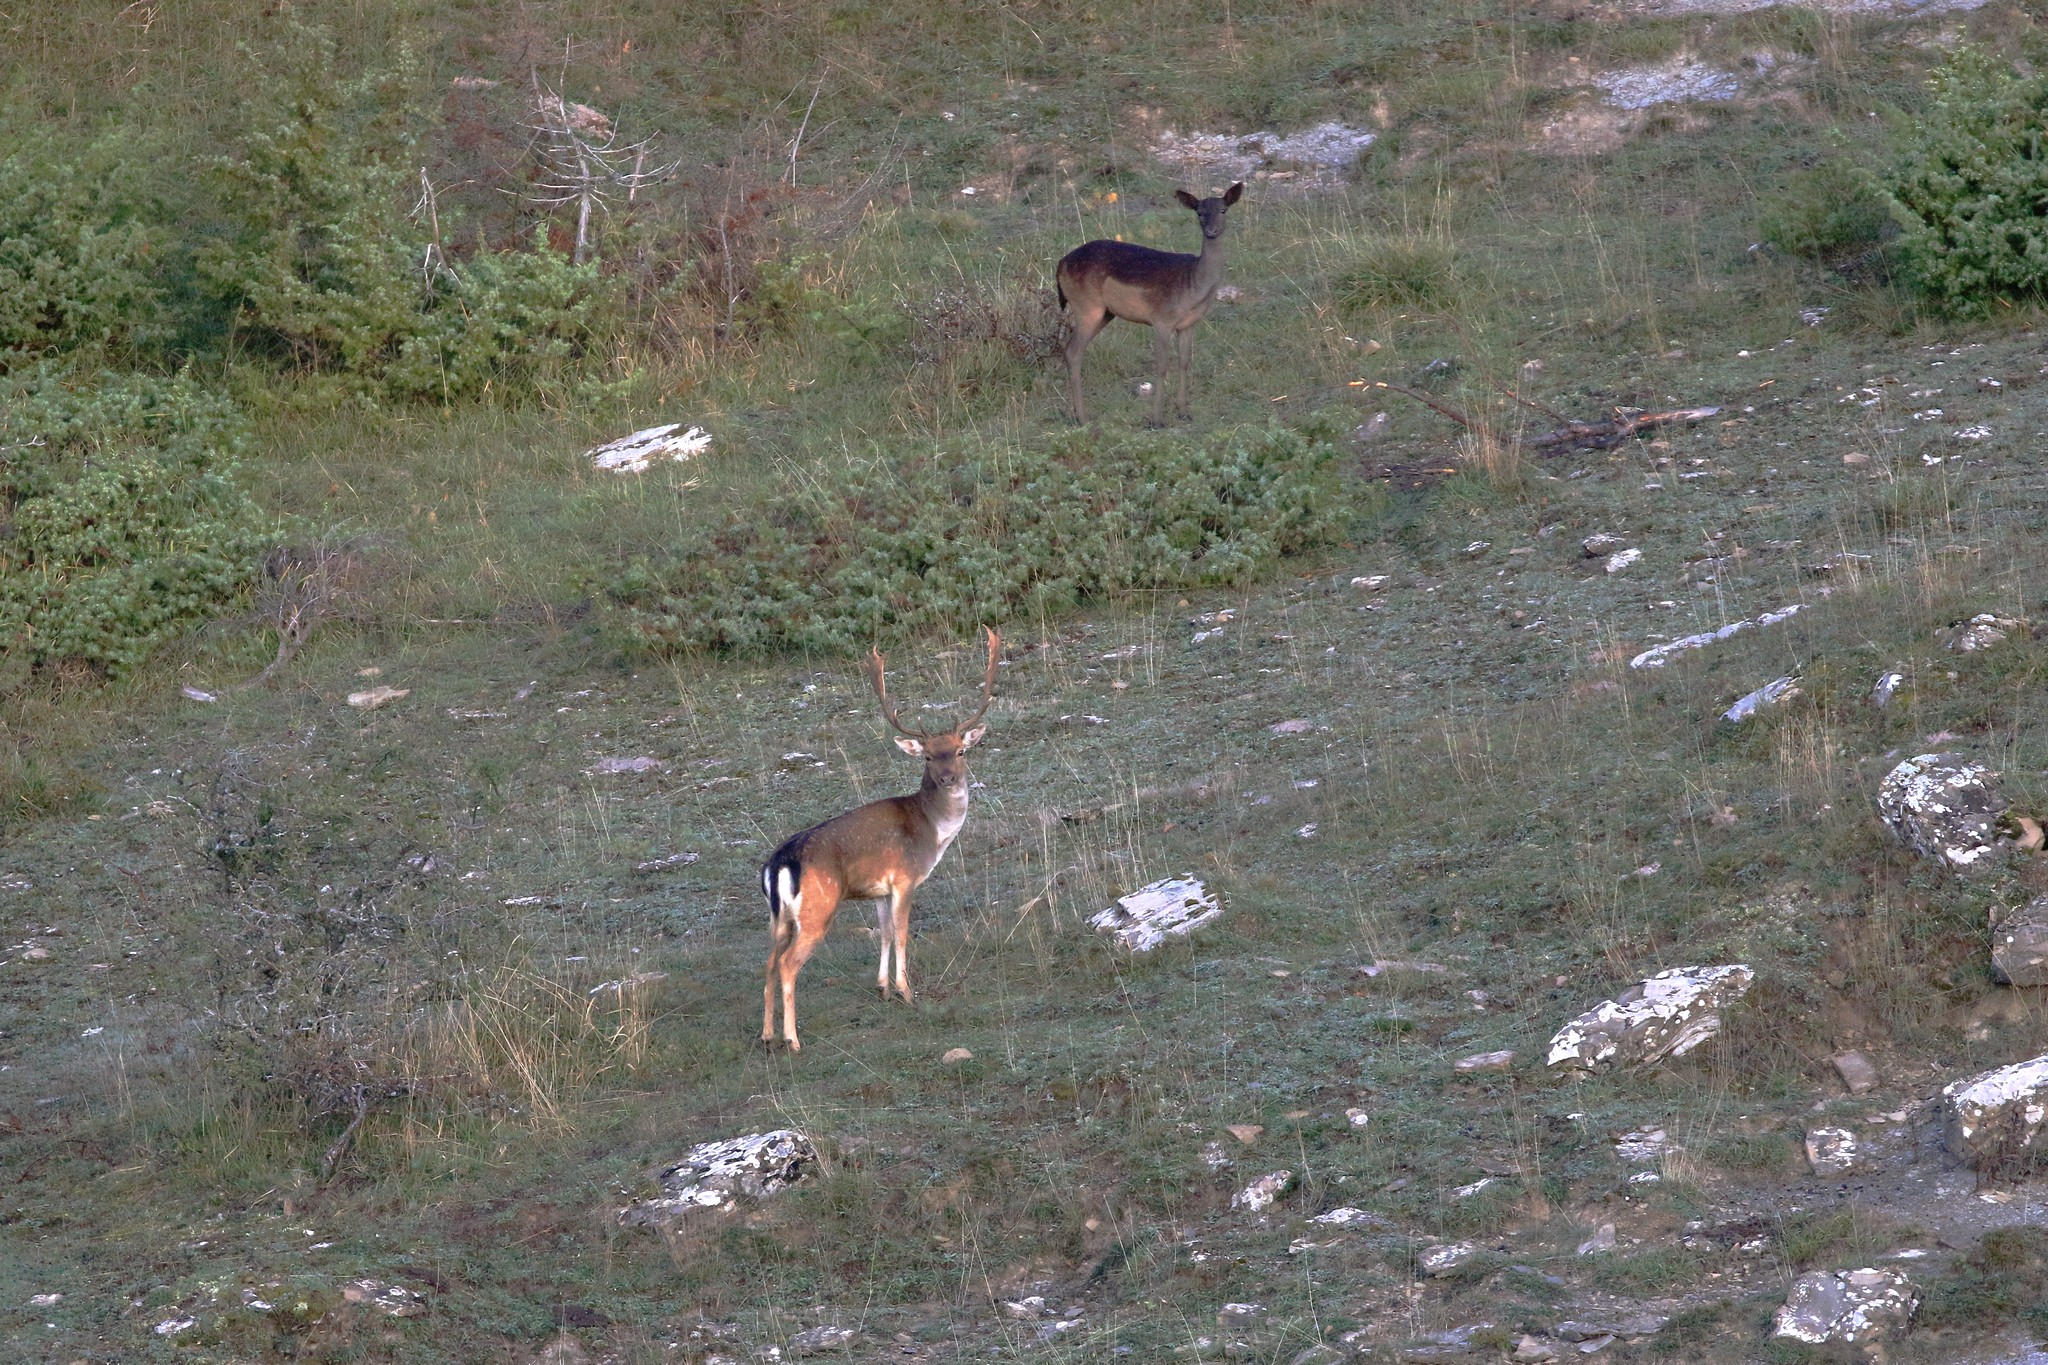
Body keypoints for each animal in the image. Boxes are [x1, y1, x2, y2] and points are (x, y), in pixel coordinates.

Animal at [759, 628, 1001, 1051]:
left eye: (959, 750)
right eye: (927, 756)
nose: (948, 778)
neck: (931, 831)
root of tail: (778, 863)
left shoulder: (879, 890)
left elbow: (884, 933)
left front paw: (883, 988)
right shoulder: (904, 878)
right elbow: (902, 933)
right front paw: (907, 991)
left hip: (779, 916)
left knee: (769, 962)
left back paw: (767, 1034)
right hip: (818, 908)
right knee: (787, 964)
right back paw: (793, 1039)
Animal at [1055, 182, 1244, 426]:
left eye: (1223, 210)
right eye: (1199, 212)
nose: (1211, 231)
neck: (1193, 285)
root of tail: (1060, 265)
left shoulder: (1187, 324)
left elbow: (1184, 361)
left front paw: (1184, 411)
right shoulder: (1162, 319)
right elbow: (1162, 366)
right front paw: (1157, 419)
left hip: (1105, 313)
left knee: (1072, 349)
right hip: (1087, 307)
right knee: (1073, 350)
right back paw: (1083, 417)